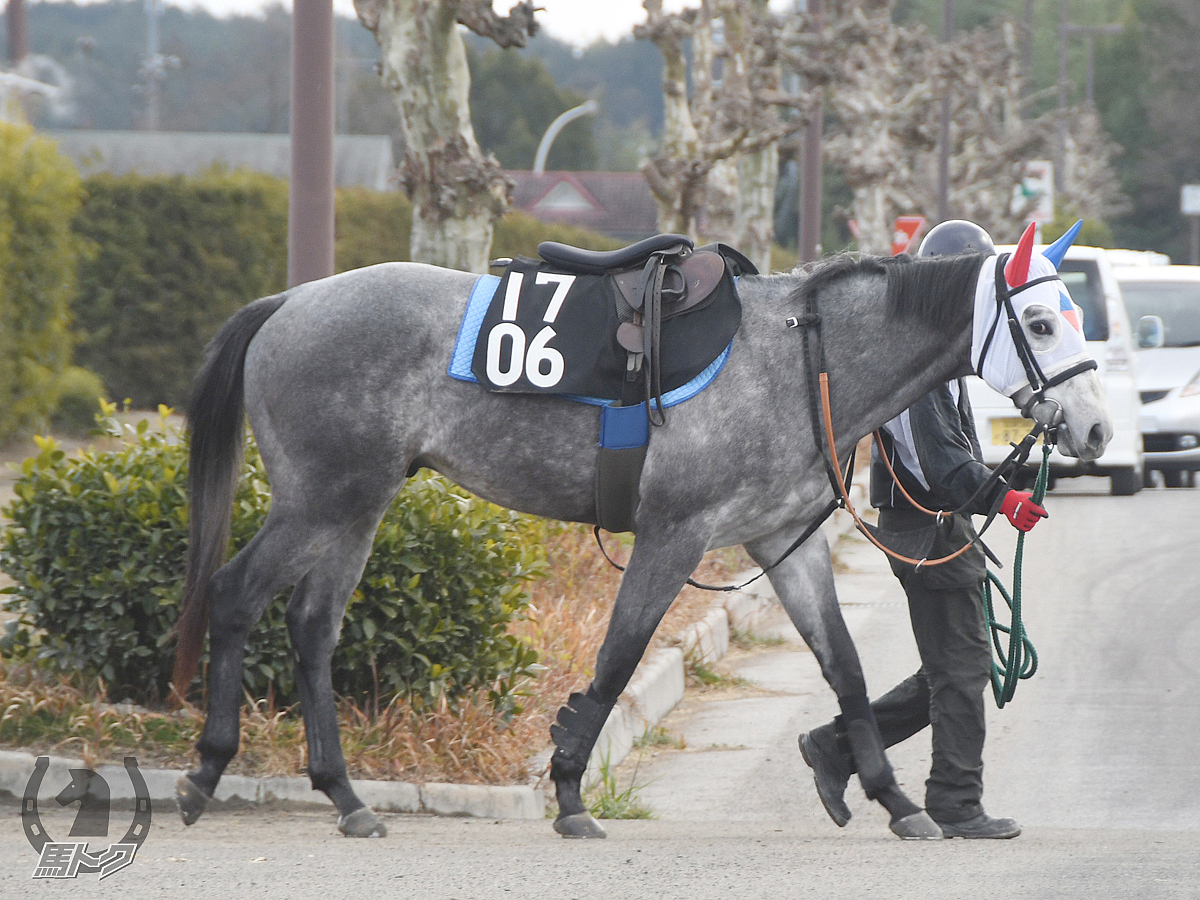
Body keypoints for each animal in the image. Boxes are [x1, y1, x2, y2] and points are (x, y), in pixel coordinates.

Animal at [174, 244, 1108, 840]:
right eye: (1040, 321)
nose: (1097, 427)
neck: (798, 357)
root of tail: (290, 302)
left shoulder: (783, 540)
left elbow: (843, 667)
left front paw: (893, 800)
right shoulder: (674, 535)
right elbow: (617, 657)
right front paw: (568, 792)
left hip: (357, 505)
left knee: (311, 627)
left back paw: (342, 794)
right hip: (322, 500)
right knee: (236, 595)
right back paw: (208, 770)